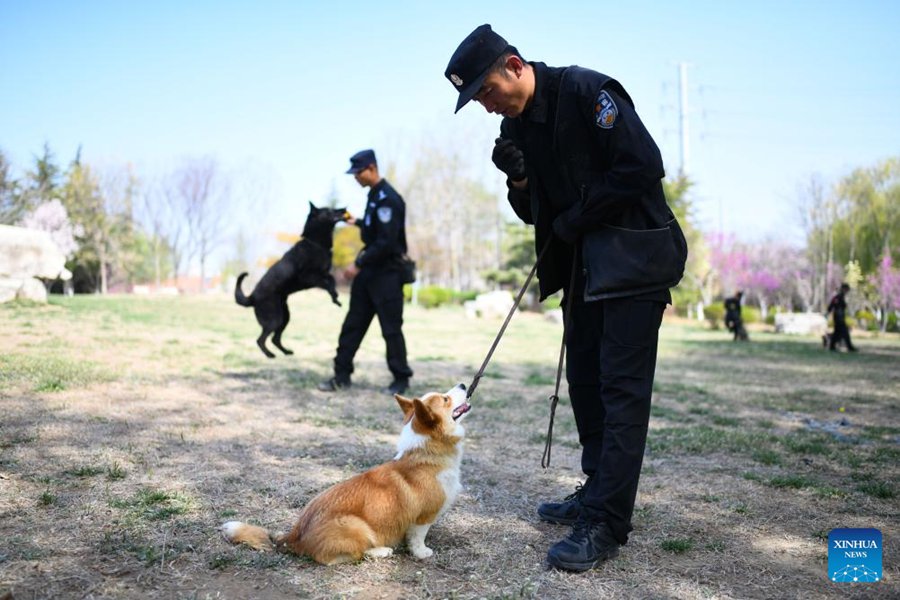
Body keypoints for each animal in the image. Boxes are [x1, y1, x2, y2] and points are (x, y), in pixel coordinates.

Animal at [221, 384, 472, 564]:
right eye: (446, 399)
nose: (463, 384)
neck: (425, 451)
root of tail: (291, 538)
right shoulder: (424, 516)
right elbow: (418, 537)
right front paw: (422, 553)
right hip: (356, 525)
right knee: (347, 556)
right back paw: (381, 551)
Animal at [236, 204, 348, 358]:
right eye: (329, 210)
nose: (344, 209)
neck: (316, 243)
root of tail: (252, 297)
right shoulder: (309, 276)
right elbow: (326, 284)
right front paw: (334, 296)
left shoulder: (324, 274)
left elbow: (332, 280)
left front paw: (335, 297)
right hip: (275, 319)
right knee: (261, 339)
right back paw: (270, 355)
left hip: (285, 317)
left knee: (275, 339)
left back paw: (286, 351)